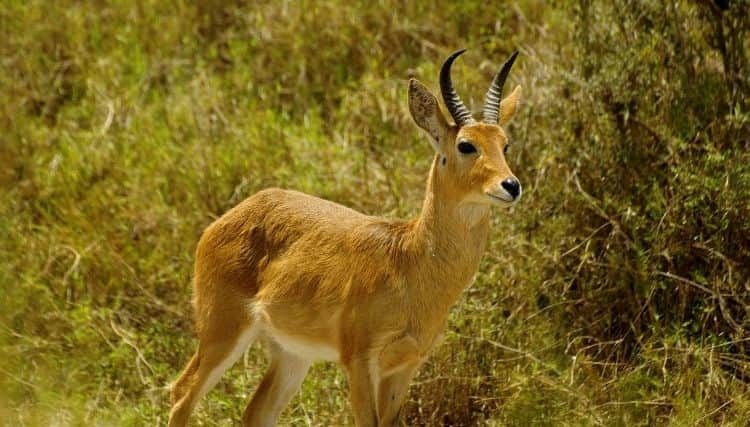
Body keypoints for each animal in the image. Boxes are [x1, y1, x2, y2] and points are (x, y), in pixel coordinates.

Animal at [169, 48, 524, 426]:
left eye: (505, 143)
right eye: (466, 145)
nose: (511, 185)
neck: (409, 263)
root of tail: (226, 218)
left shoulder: (405, 367)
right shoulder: (360, 361)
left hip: (290, 353)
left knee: (255, 413)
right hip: (222, 330)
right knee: (182, 394)